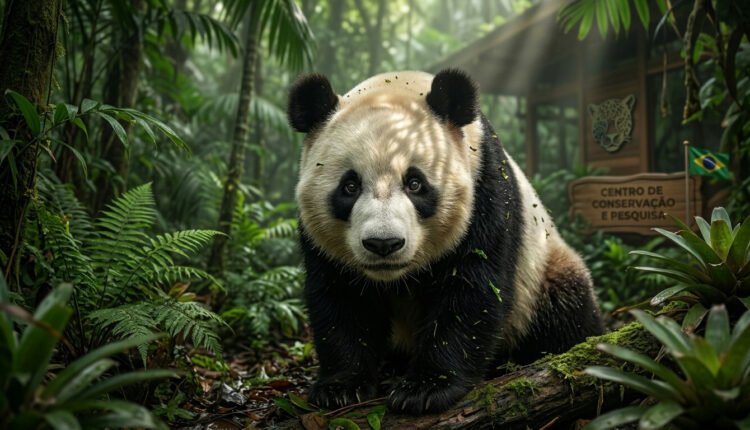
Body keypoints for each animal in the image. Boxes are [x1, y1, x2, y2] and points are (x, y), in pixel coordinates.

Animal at [287, 69, 603, 415]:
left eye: (415, 183)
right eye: (350, 186)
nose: (384, 244)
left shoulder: (485, 191)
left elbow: (472, 288)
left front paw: (425, 388)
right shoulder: (319, 240)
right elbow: (341, 297)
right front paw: (341, 387)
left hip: (541, 272)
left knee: (566, 307)